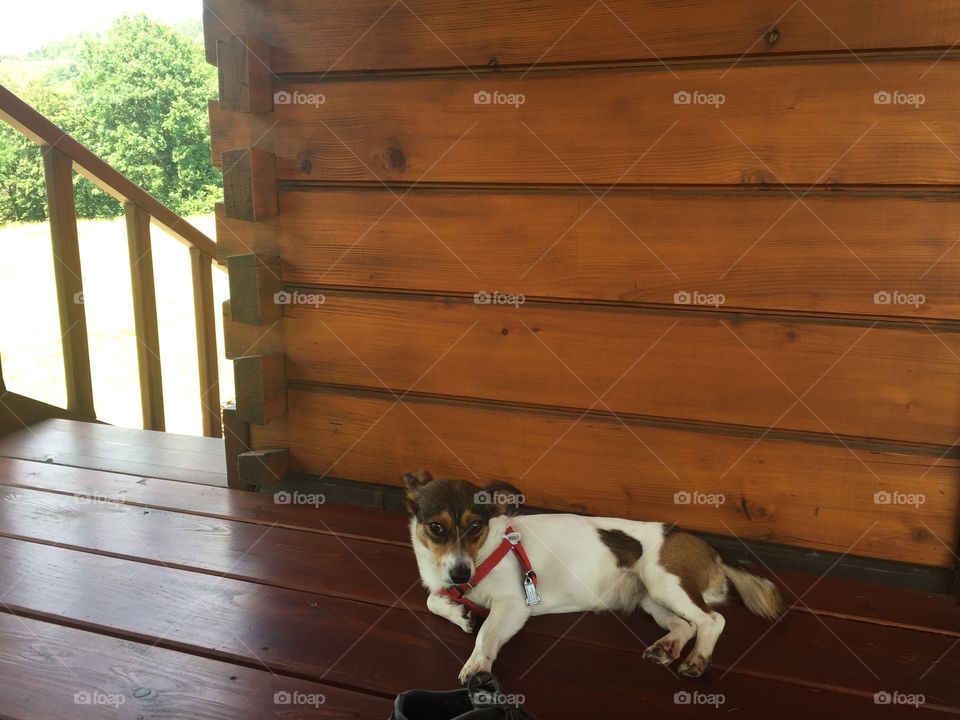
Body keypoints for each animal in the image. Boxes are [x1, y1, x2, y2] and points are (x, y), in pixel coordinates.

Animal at [404, 470, 788, 684]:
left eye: (475, 527)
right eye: (435, 527)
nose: (459, 573)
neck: (484, 555)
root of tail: (711, 550)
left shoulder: (514, 604)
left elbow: (486, 634)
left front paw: (478, 663)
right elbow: (432, 599)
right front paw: (460, 614)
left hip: (666, 582)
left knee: (712, 620)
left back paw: (697, 659)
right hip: (651, 598)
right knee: (686, 624)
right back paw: (668, 646)